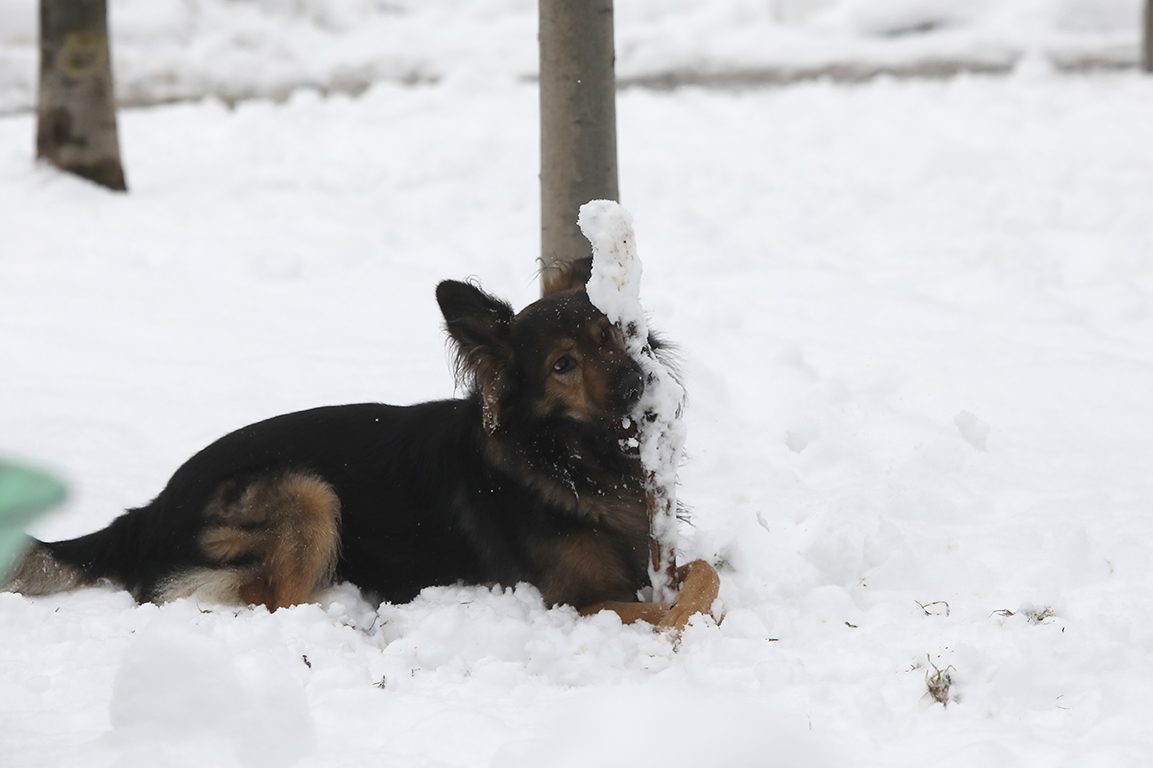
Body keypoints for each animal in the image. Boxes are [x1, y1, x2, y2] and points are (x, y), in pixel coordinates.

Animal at [4, 268, 714, 627]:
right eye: (563, 365)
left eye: (610, 335)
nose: (637, 384)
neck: (567, 458)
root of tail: (147, 511)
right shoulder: (579, 600)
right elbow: (663, 613)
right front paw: (686, 624)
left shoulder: (654, 557)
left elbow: (703, 571)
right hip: (304, 489)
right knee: (273, 602)